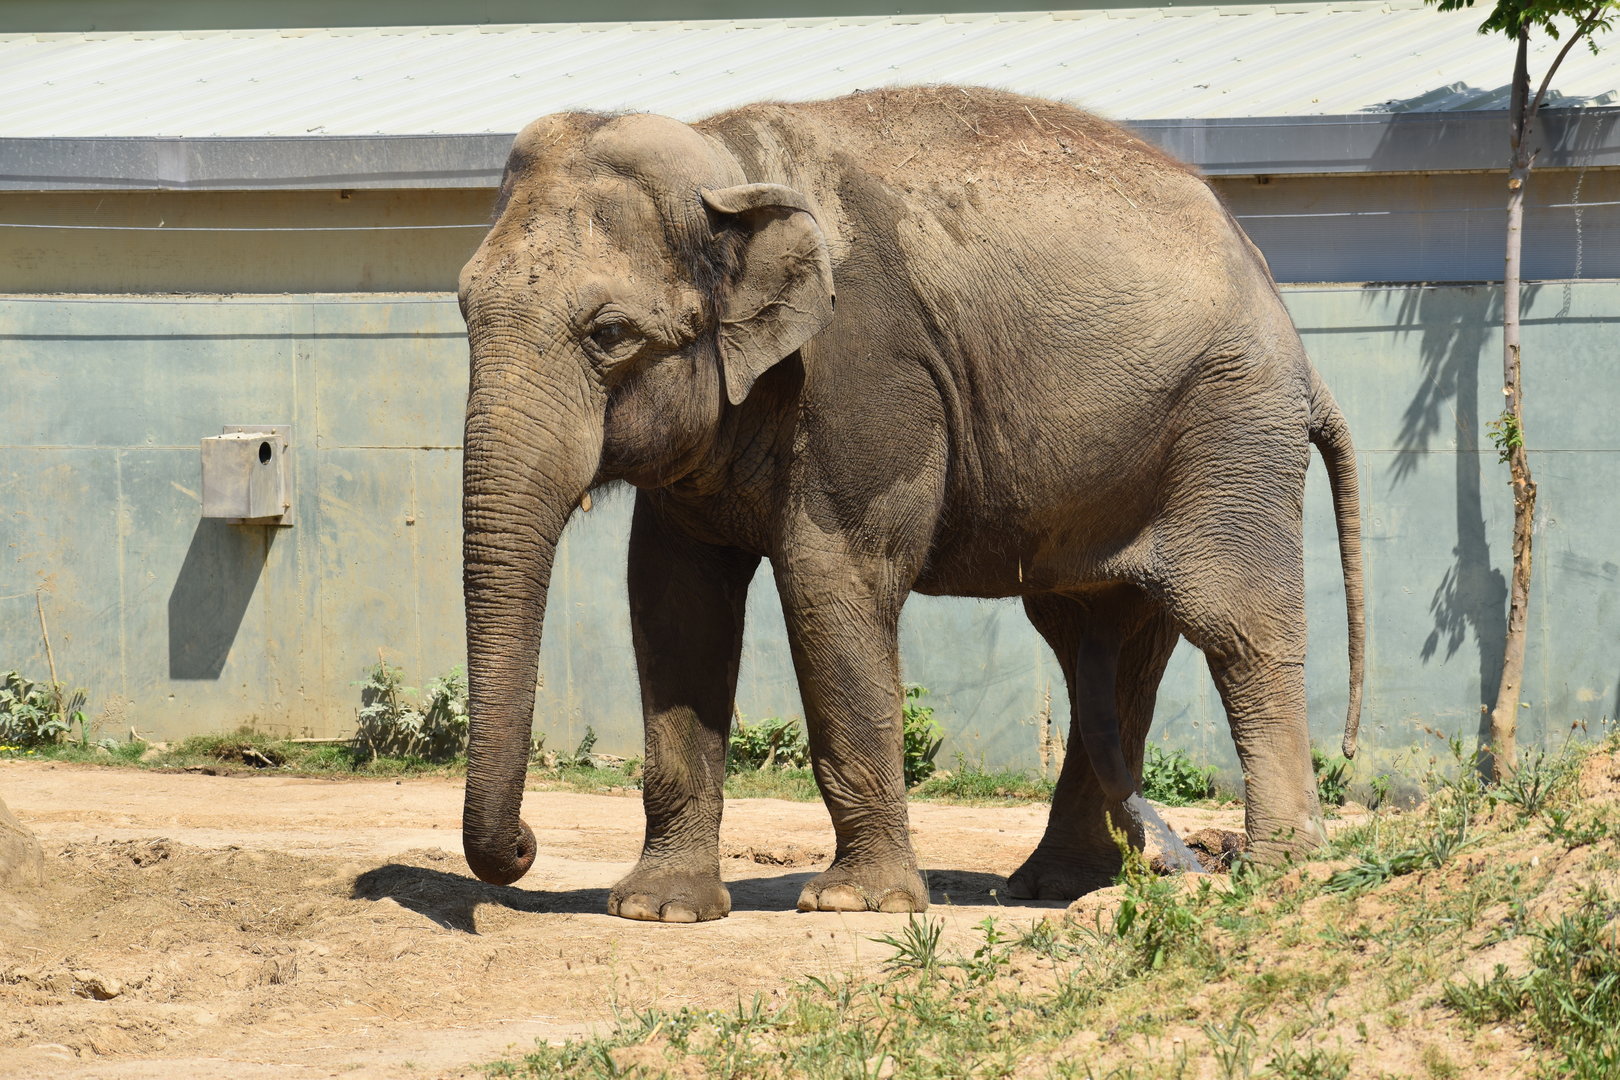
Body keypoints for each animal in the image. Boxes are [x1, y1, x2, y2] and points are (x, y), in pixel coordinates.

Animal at [456, 85, 1365, 921]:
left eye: (609, 334)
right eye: (463, 307)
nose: (526, 848)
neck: (728, 163)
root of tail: (1293, 334)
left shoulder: (869, 373)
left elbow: (831, 577)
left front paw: (855, 903)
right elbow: (673, 598)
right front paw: (660, 909)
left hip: (1231, 431)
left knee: (1235, 626)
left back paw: (1277, 868)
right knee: (1099, 646)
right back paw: (1060, 885)